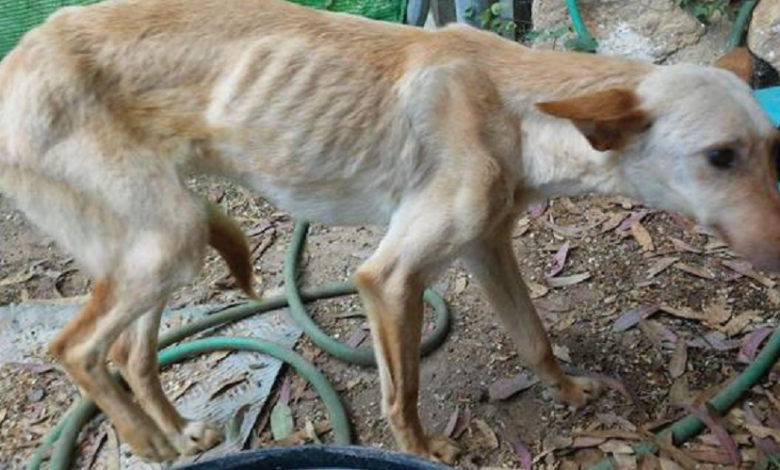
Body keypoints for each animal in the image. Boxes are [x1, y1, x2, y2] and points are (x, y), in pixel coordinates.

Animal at [1, 0, 780, 462]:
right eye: (720, 157)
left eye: (772, 148)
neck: (516, 107)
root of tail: (19, 53)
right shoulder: (390, 279)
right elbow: (400, 392)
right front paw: (425, 452)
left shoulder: (487, 245)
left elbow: (533, 337)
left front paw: (571, 393)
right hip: (167, 238)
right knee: (74, 349)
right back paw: (147, 442)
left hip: (160, 244)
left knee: (130, 354)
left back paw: (178, 432)